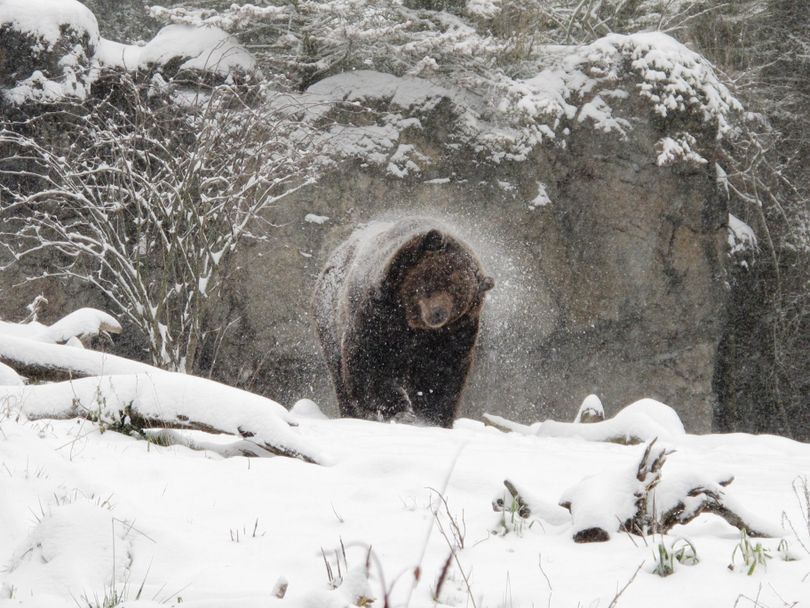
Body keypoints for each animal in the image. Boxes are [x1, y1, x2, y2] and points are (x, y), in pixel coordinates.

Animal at [312, 218, 492, 428]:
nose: (438, 314)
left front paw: (430, 418)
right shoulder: (380, 312)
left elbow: (440, 374)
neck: (412, 322)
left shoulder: (453, 333)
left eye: (459, 295)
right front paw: (400, 411)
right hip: (329, 315)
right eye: (438, 279)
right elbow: (371, 361)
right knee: (339, 373)